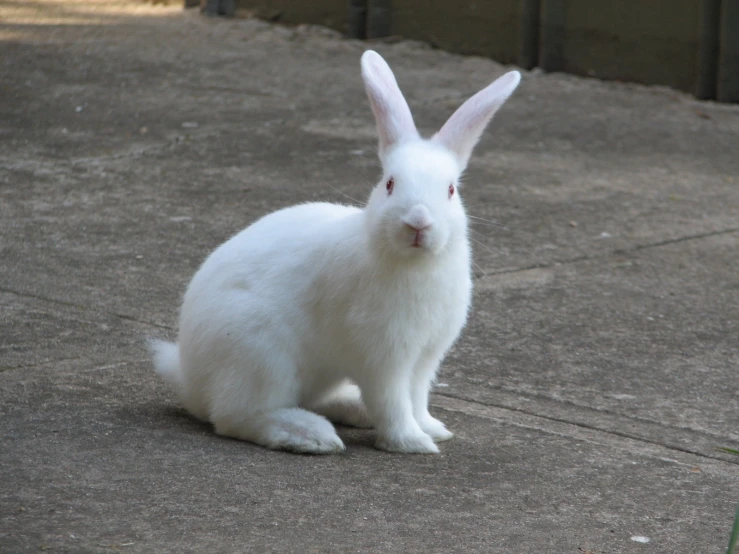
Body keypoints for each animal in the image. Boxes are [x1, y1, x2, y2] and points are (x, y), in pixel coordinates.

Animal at [149, 49, 520, 450]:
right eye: (389, 184)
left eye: (451, 190)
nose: (418, 222)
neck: (415, 264)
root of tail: (189, 378)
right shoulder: (384, 357)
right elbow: (393, 401)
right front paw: (412, 442)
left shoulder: (425, 357)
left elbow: (417, 396)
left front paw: (433, 428)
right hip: (260, 356)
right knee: (236, 417)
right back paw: (311, 435)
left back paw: (351, 410)